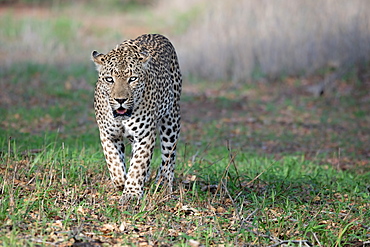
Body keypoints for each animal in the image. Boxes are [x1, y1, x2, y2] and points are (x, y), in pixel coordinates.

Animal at [90, 33, 181, 203]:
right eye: (109, 79)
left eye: (132, 79)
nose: (120, 100)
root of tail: (156, 34)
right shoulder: (108, 135)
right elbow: (114, 162)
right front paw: (121, 182)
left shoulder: (145, 136)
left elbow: (139, 165)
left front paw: (131, 193)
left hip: (172, 119)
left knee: (169, 155)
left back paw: (164, 183)